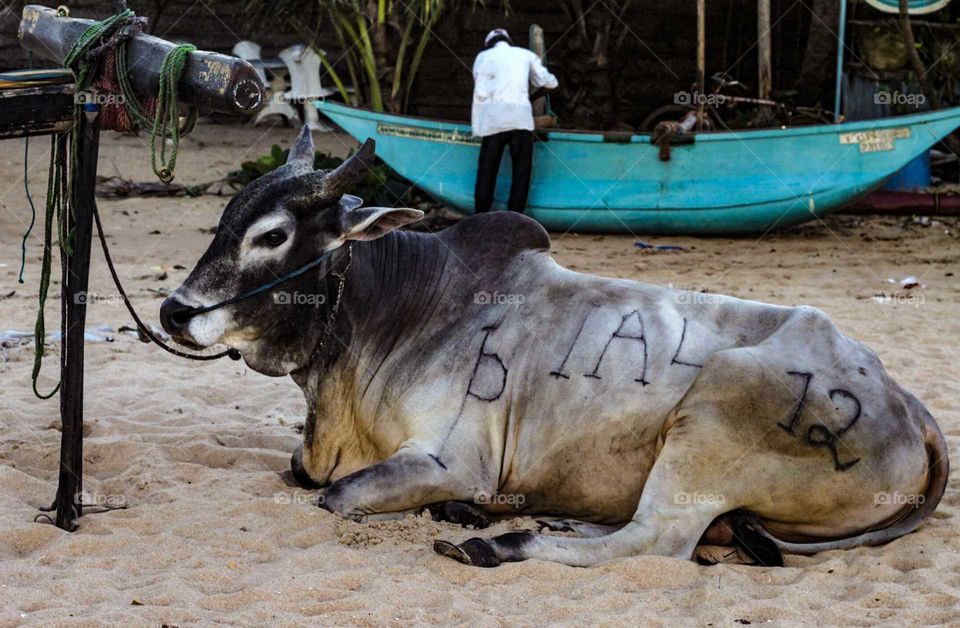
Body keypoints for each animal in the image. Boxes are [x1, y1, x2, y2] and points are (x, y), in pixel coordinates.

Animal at [160, 127, 948, 568]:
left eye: (272, 235)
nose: (172, 312)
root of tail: (909, 406)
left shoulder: (452, 459)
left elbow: (335, 497)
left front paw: (466, 514)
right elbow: (302, 477)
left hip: (712, 420)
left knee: (656, 542)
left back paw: (496, 541)